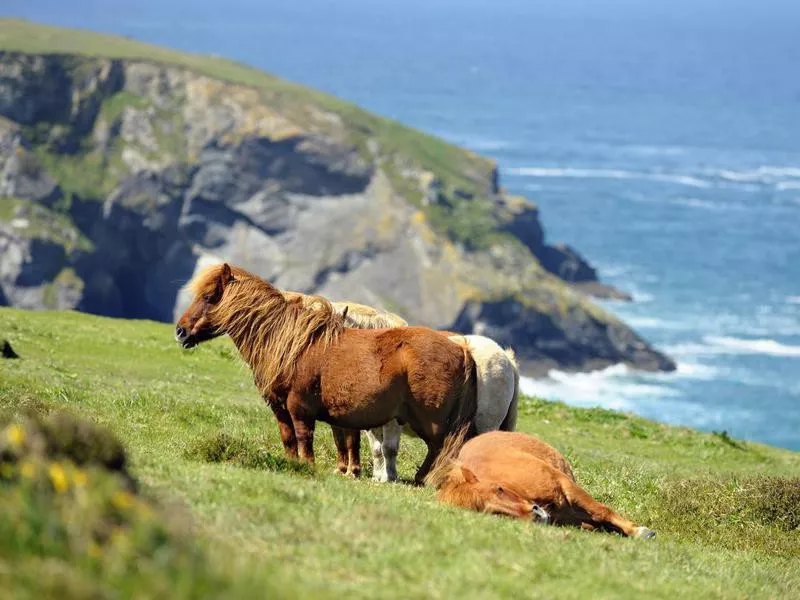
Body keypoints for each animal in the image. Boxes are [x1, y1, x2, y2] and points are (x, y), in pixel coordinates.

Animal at [177, 262, 476, 482]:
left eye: (208, 297)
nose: (180, 331)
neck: (291, 343)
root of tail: (461, 348)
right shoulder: (280, 408)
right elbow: (289, 439)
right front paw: (292, 465)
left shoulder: (300, 408)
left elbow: (304, 439)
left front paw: (308, 467)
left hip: (431, 422)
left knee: (439, 449)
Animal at [282, 296, 520, 482]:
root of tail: (506, 359)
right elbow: (372, 447)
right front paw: (375, 475)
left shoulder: (389, 420)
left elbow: (386, 448)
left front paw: (386, 476)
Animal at [424, 432, 656, 540]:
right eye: (493, 513)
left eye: (499, 489)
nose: (535, 514)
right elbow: (597, 522)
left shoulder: (565, 484)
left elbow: (602, 510)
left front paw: (640, 531)